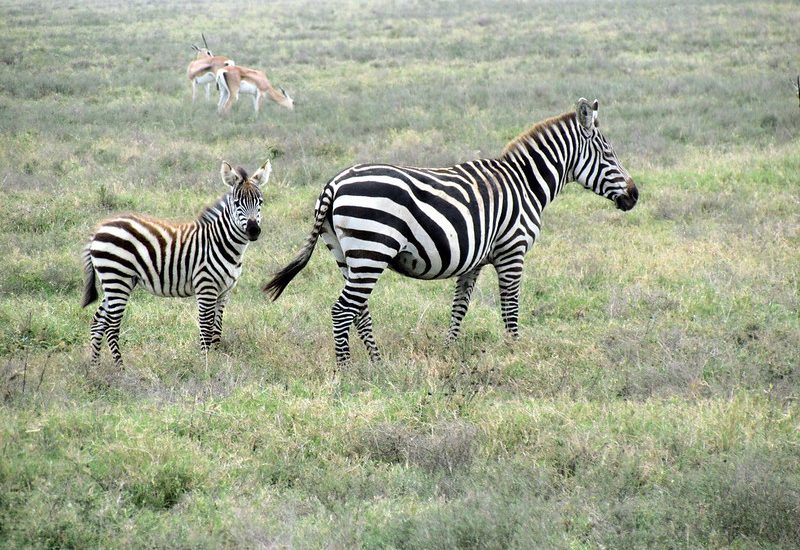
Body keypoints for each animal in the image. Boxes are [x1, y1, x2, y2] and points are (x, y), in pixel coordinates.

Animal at [83, 162, 272, 368]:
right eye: (237, 203)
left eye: (260, 202)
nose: (253, 231)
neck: (221, 242)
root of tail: (99, 229)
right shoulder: (206, 288)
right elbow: (206, 330)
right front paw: (206, 366)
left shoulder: (224, 292)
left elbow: (217, 331)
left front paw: (216, 364)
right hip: (117, 279)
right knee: (111, 326)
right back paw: (120, 369)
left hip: (116, 281)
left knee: (98, 322)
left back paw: (94, 367)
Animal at [266, 99, 640, 366]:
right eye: (609, 153)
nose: (635, 195)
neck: (525, 183)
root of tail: (334, 183)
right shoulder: (512, 251)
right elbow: (510, 307)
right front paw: (515, 350)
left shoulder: (474, 260)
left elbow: (460, 307)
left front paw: (449, 349)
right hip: (372, 249)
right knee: (343, 310)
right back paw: (346, 370)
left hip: (347, 255)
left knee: (359, 311)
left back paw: (378, 363)